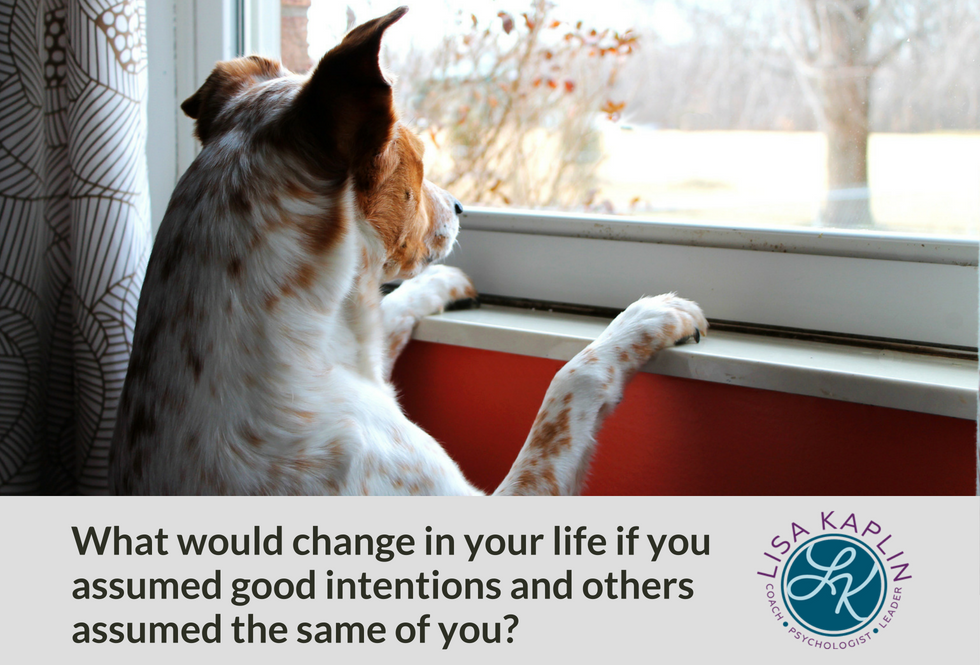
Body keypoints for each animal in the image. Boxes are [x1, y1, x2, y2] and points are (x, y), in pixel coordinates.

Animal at [105, 5, 704, 492]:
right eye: (417, 156)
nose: (462, 207)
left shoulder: (366, 345)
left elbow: (392, 307)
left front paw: (446, 284)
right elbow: (571, 380)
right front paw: (652, 316)